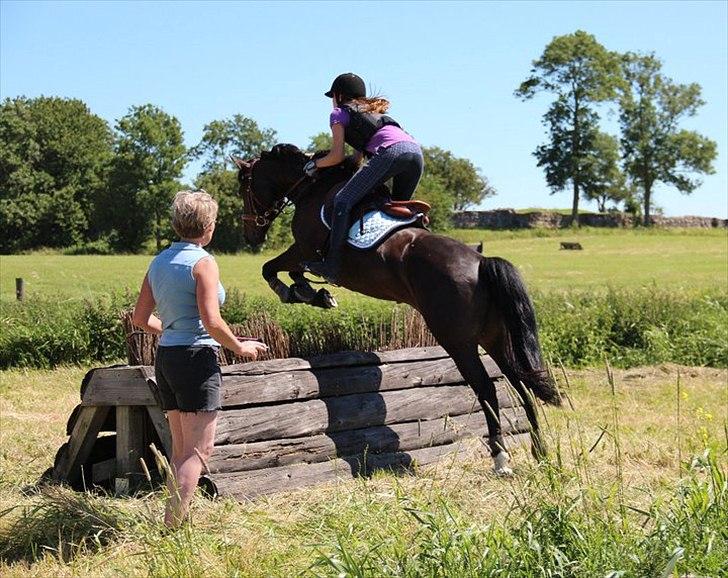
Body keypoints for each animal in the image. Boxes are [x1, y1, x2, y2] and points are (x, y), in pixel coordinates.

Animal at [236, 144, 560, 472]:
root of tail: (481, 263)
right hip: (494, 337)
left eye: (243, 187)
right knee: (521, 382)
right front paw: (313, 294)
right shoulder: (302, 253)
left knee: (486, 389)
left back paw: (500, 458)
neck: (311, 188)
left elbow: (271, 268)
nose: (250, 235)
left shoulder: (303, 249)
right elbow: (291, 273)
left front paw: (298, 293)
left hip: (459, 342)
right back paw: (540, 451)